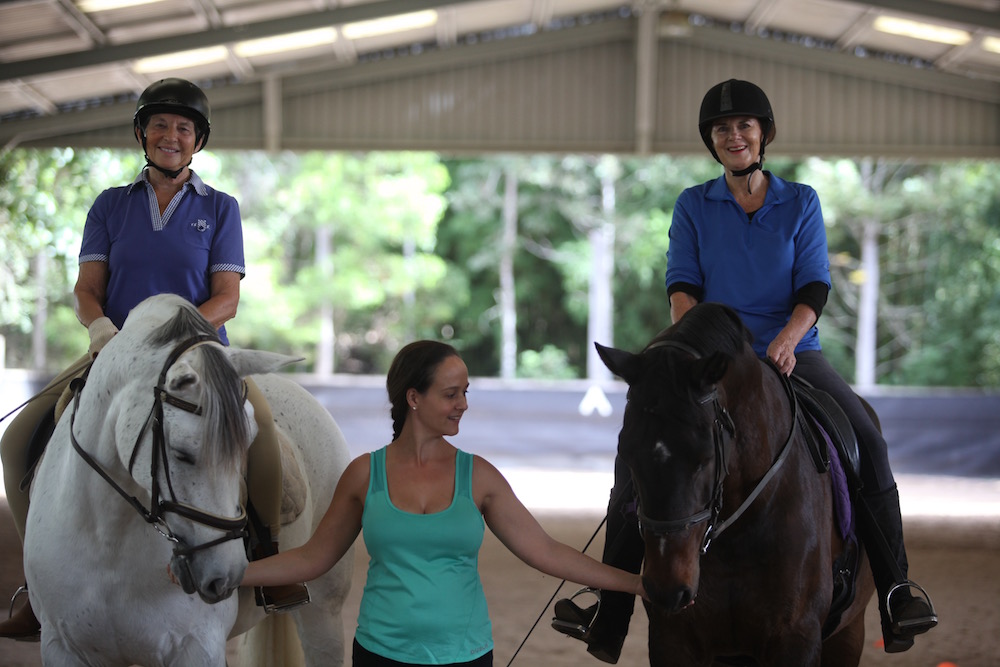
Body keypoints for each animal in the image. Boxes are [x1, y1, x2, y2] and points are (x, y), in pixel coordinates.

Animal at [23, 296, 356, 667]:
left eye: (247, 448)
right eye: (181, 452)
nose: (227, 575)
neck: (106, 541)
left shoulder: (197, 646)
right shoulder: (61, 646)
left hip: (324, 608)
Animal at [596, 304, 872, 667]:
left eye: (705, 457)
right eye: (626, 453)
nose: (668, 589)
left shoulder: (796, 638)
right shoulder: (673, 640)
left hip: (849, 635)